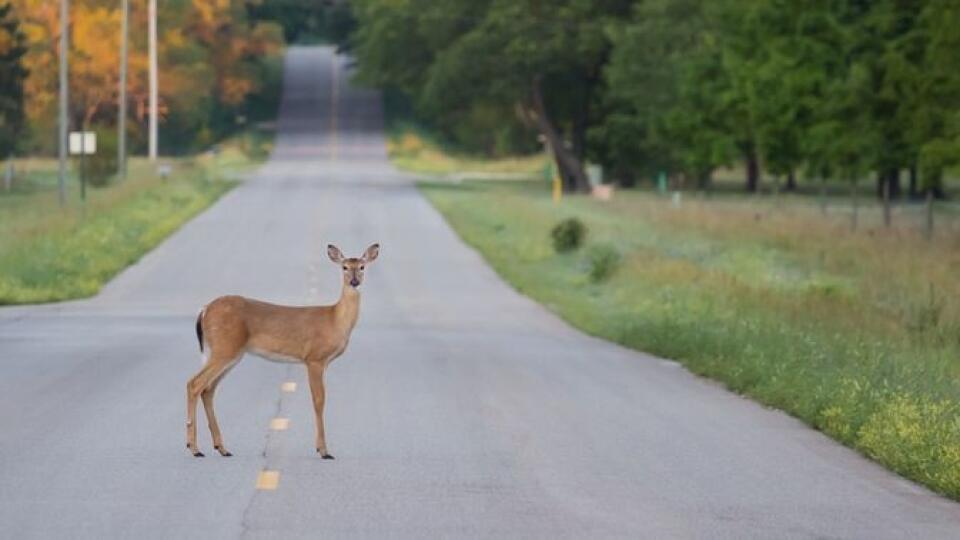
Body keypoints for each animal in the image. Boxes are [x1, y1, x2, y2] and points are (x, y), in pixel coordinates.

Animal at [186, 245, 380, 460]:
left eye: (362, 266)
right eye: (344, 267)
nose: (354, 281)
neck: (335, 321)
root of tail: (204, 310)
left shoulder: (322, 362)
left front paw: (321, 448)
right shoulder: (314, 358)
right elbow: (319, 401)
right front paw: (323, 450)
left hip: (231, 354)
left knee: (208, 389)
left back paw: (221, 448)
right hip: (224, 348)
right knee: (194, 383)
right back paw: (194, 448)